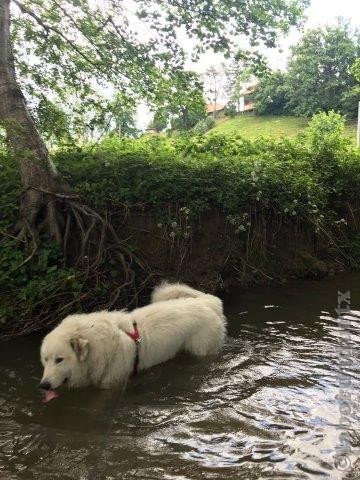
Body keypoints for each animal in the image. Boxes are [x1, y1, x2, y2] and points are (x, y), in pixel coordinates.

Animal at [39, 282, 225, 402]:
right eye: (45, 360)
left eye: (59, 359)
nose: (44, 385)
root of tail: (207, 301)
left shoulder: (111, 386)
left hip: (203, 349)